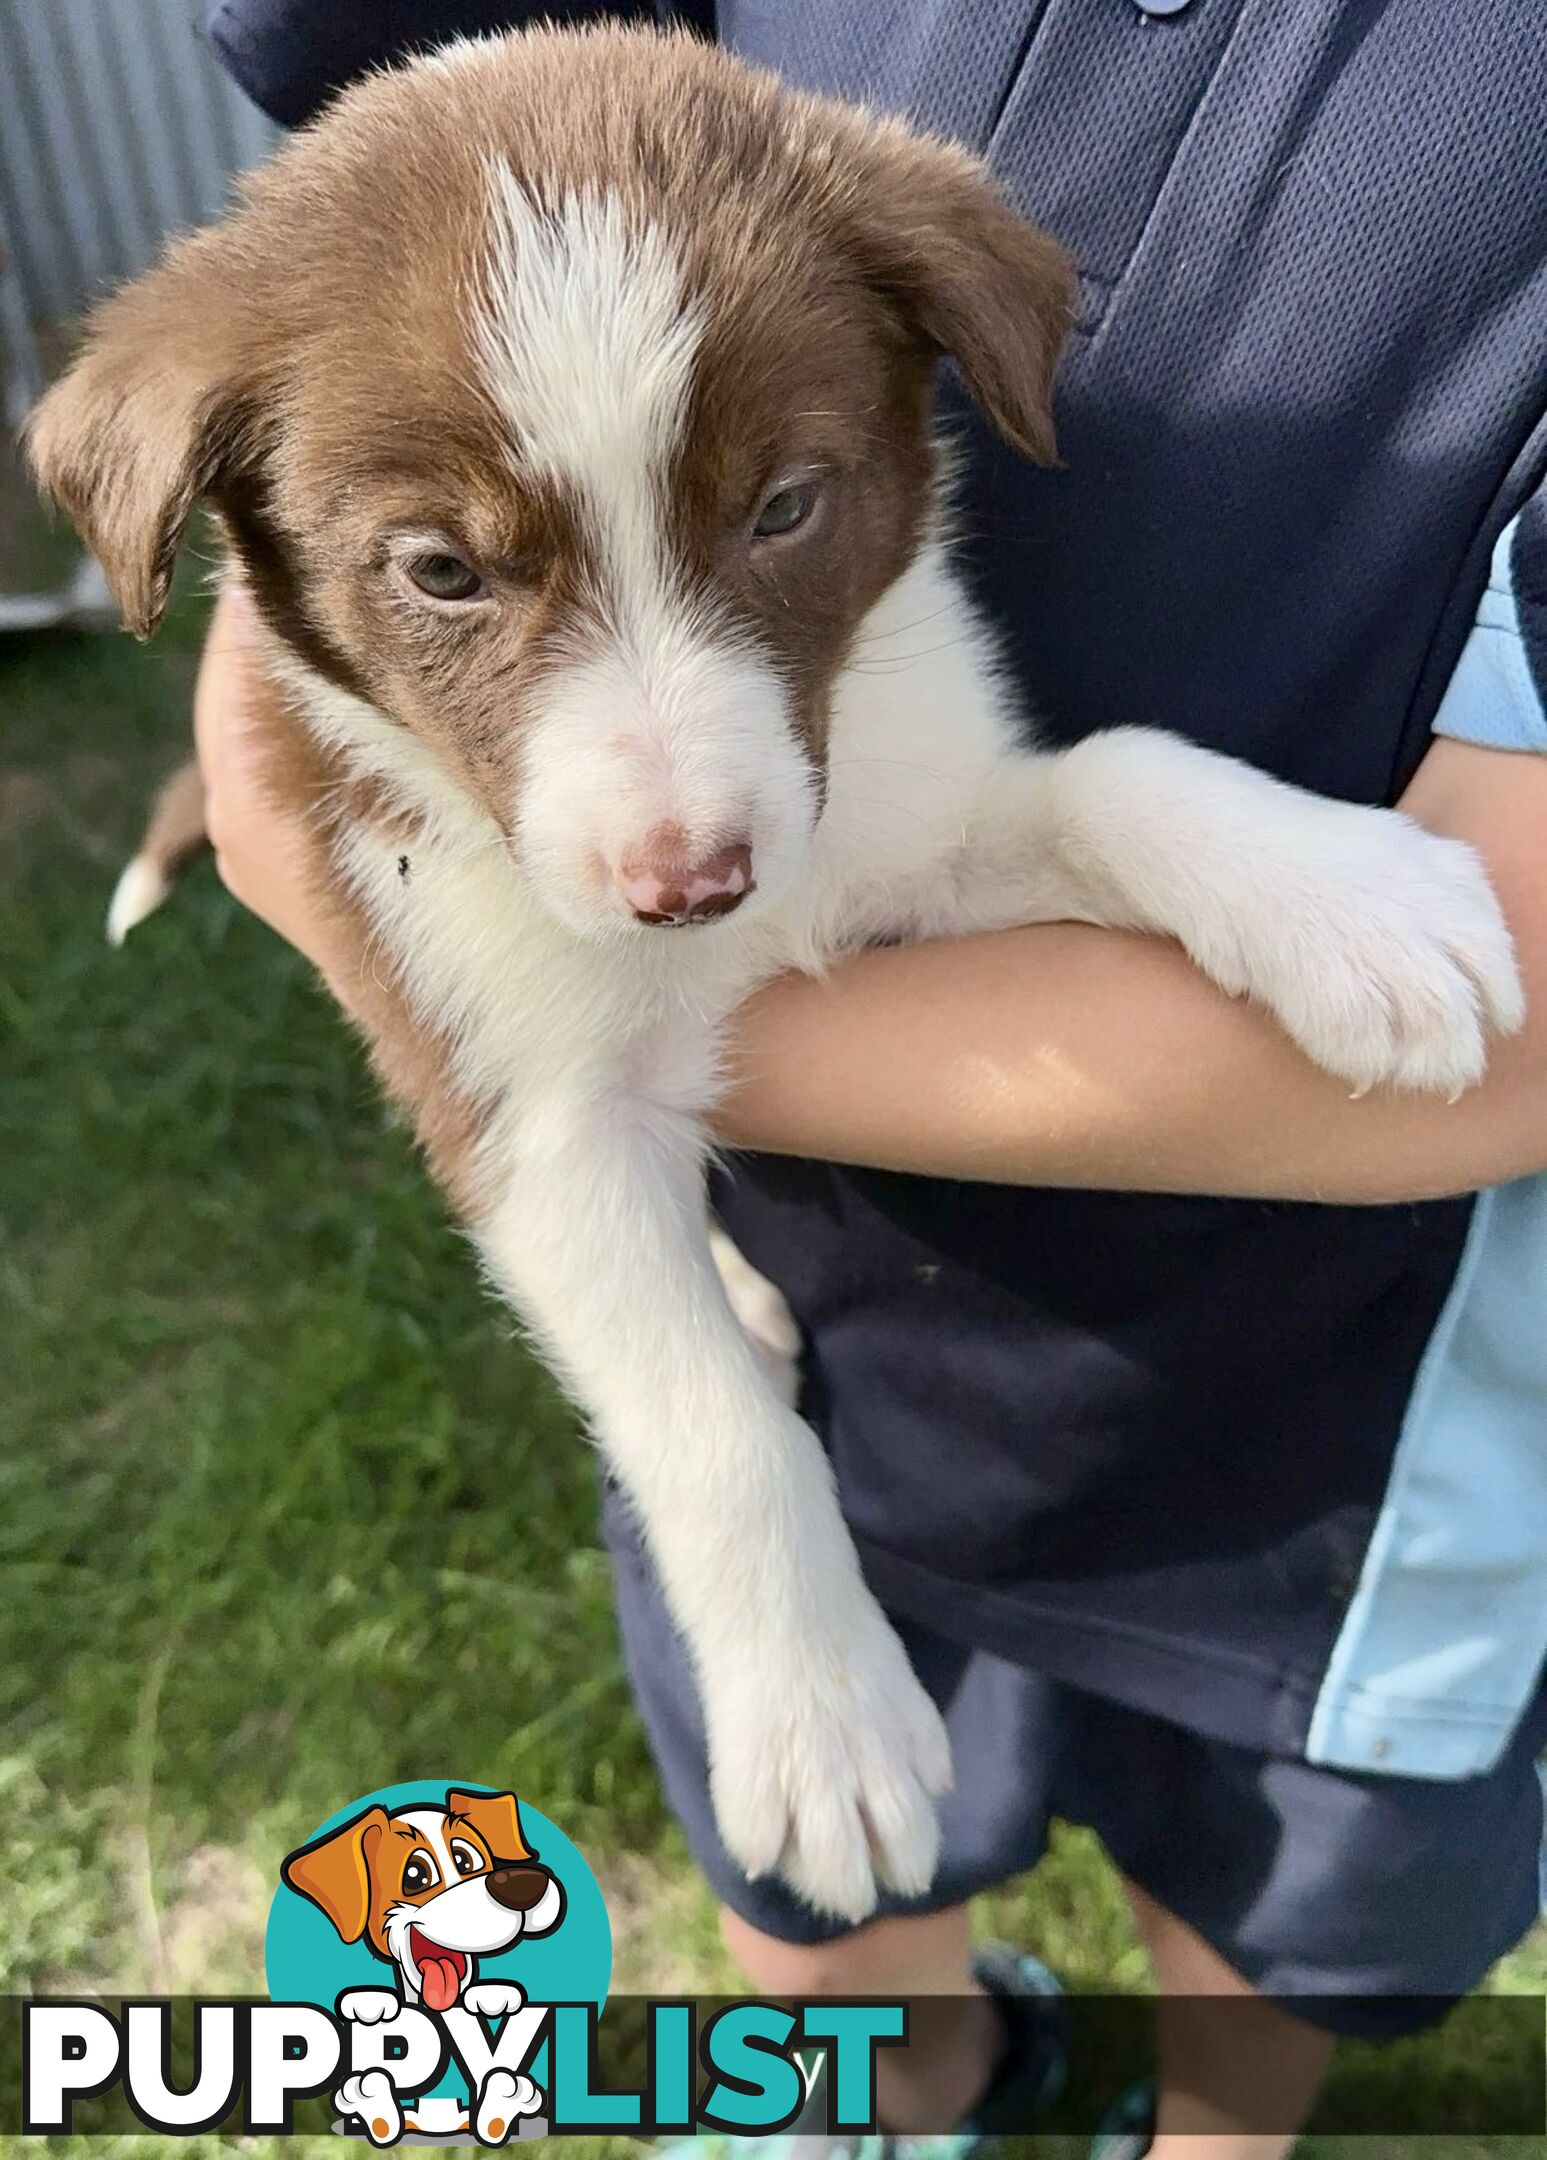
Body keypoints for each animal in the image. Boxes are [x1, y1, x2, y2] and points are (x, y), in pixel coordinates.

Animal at [24, 12, 1521, 1909]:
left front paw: (1352, 901)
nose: (692, 886)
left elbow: (1113, 771)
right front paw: (824, 1730)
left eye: (788, 507)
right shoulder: (514, 1081)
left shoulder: (888, 836)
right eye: (439, 570)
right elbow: (713, 1434)